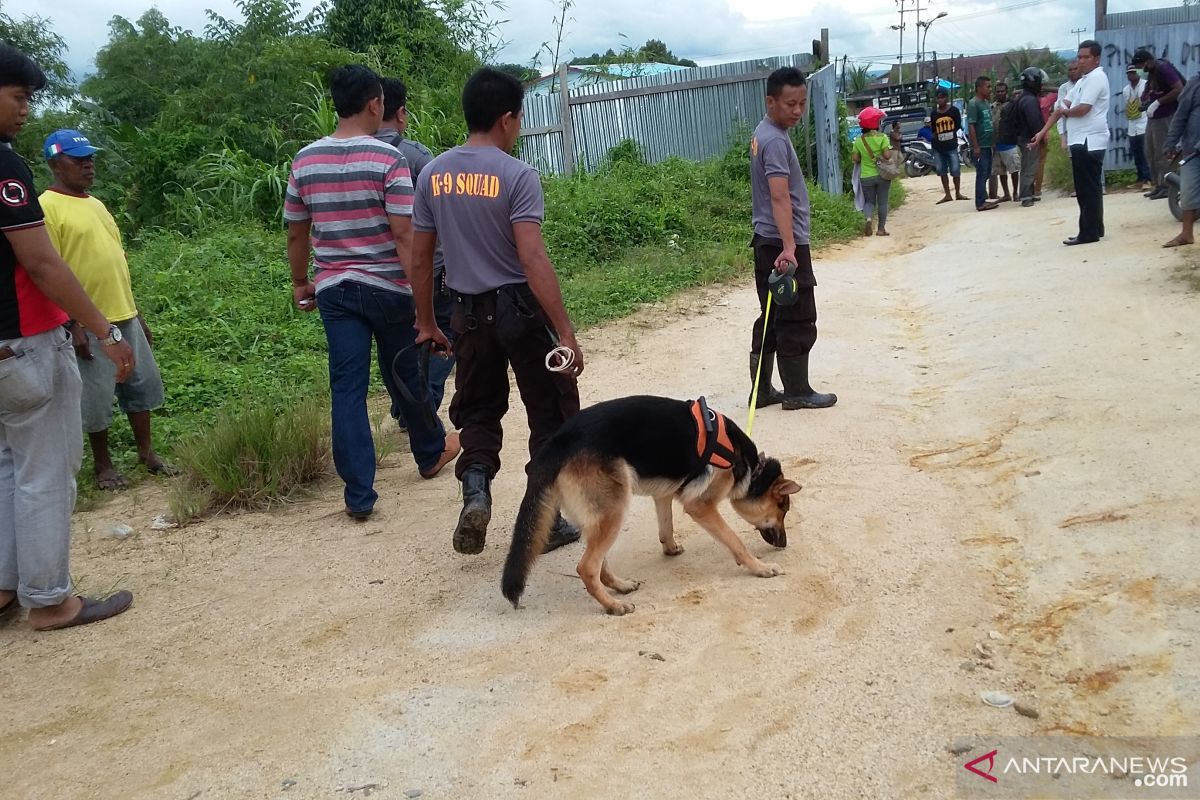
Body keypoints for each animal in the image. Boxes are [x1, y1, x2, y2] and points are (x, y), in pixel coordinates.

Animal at [501, 398, 801, 618]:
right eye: (783, 508)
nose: (785, 544)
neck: (748, 466)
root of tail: (554, 446)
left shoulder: (664, 494)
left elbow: (666, 526)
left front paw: (670, 548)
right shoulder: (701, 506)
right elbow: (735, 541)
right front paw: (760, 567)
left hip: (599, 517)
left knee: (598, 563)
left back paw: (620, 586)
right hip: (614, 511)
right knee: (586, 567)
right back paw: (613, 606)